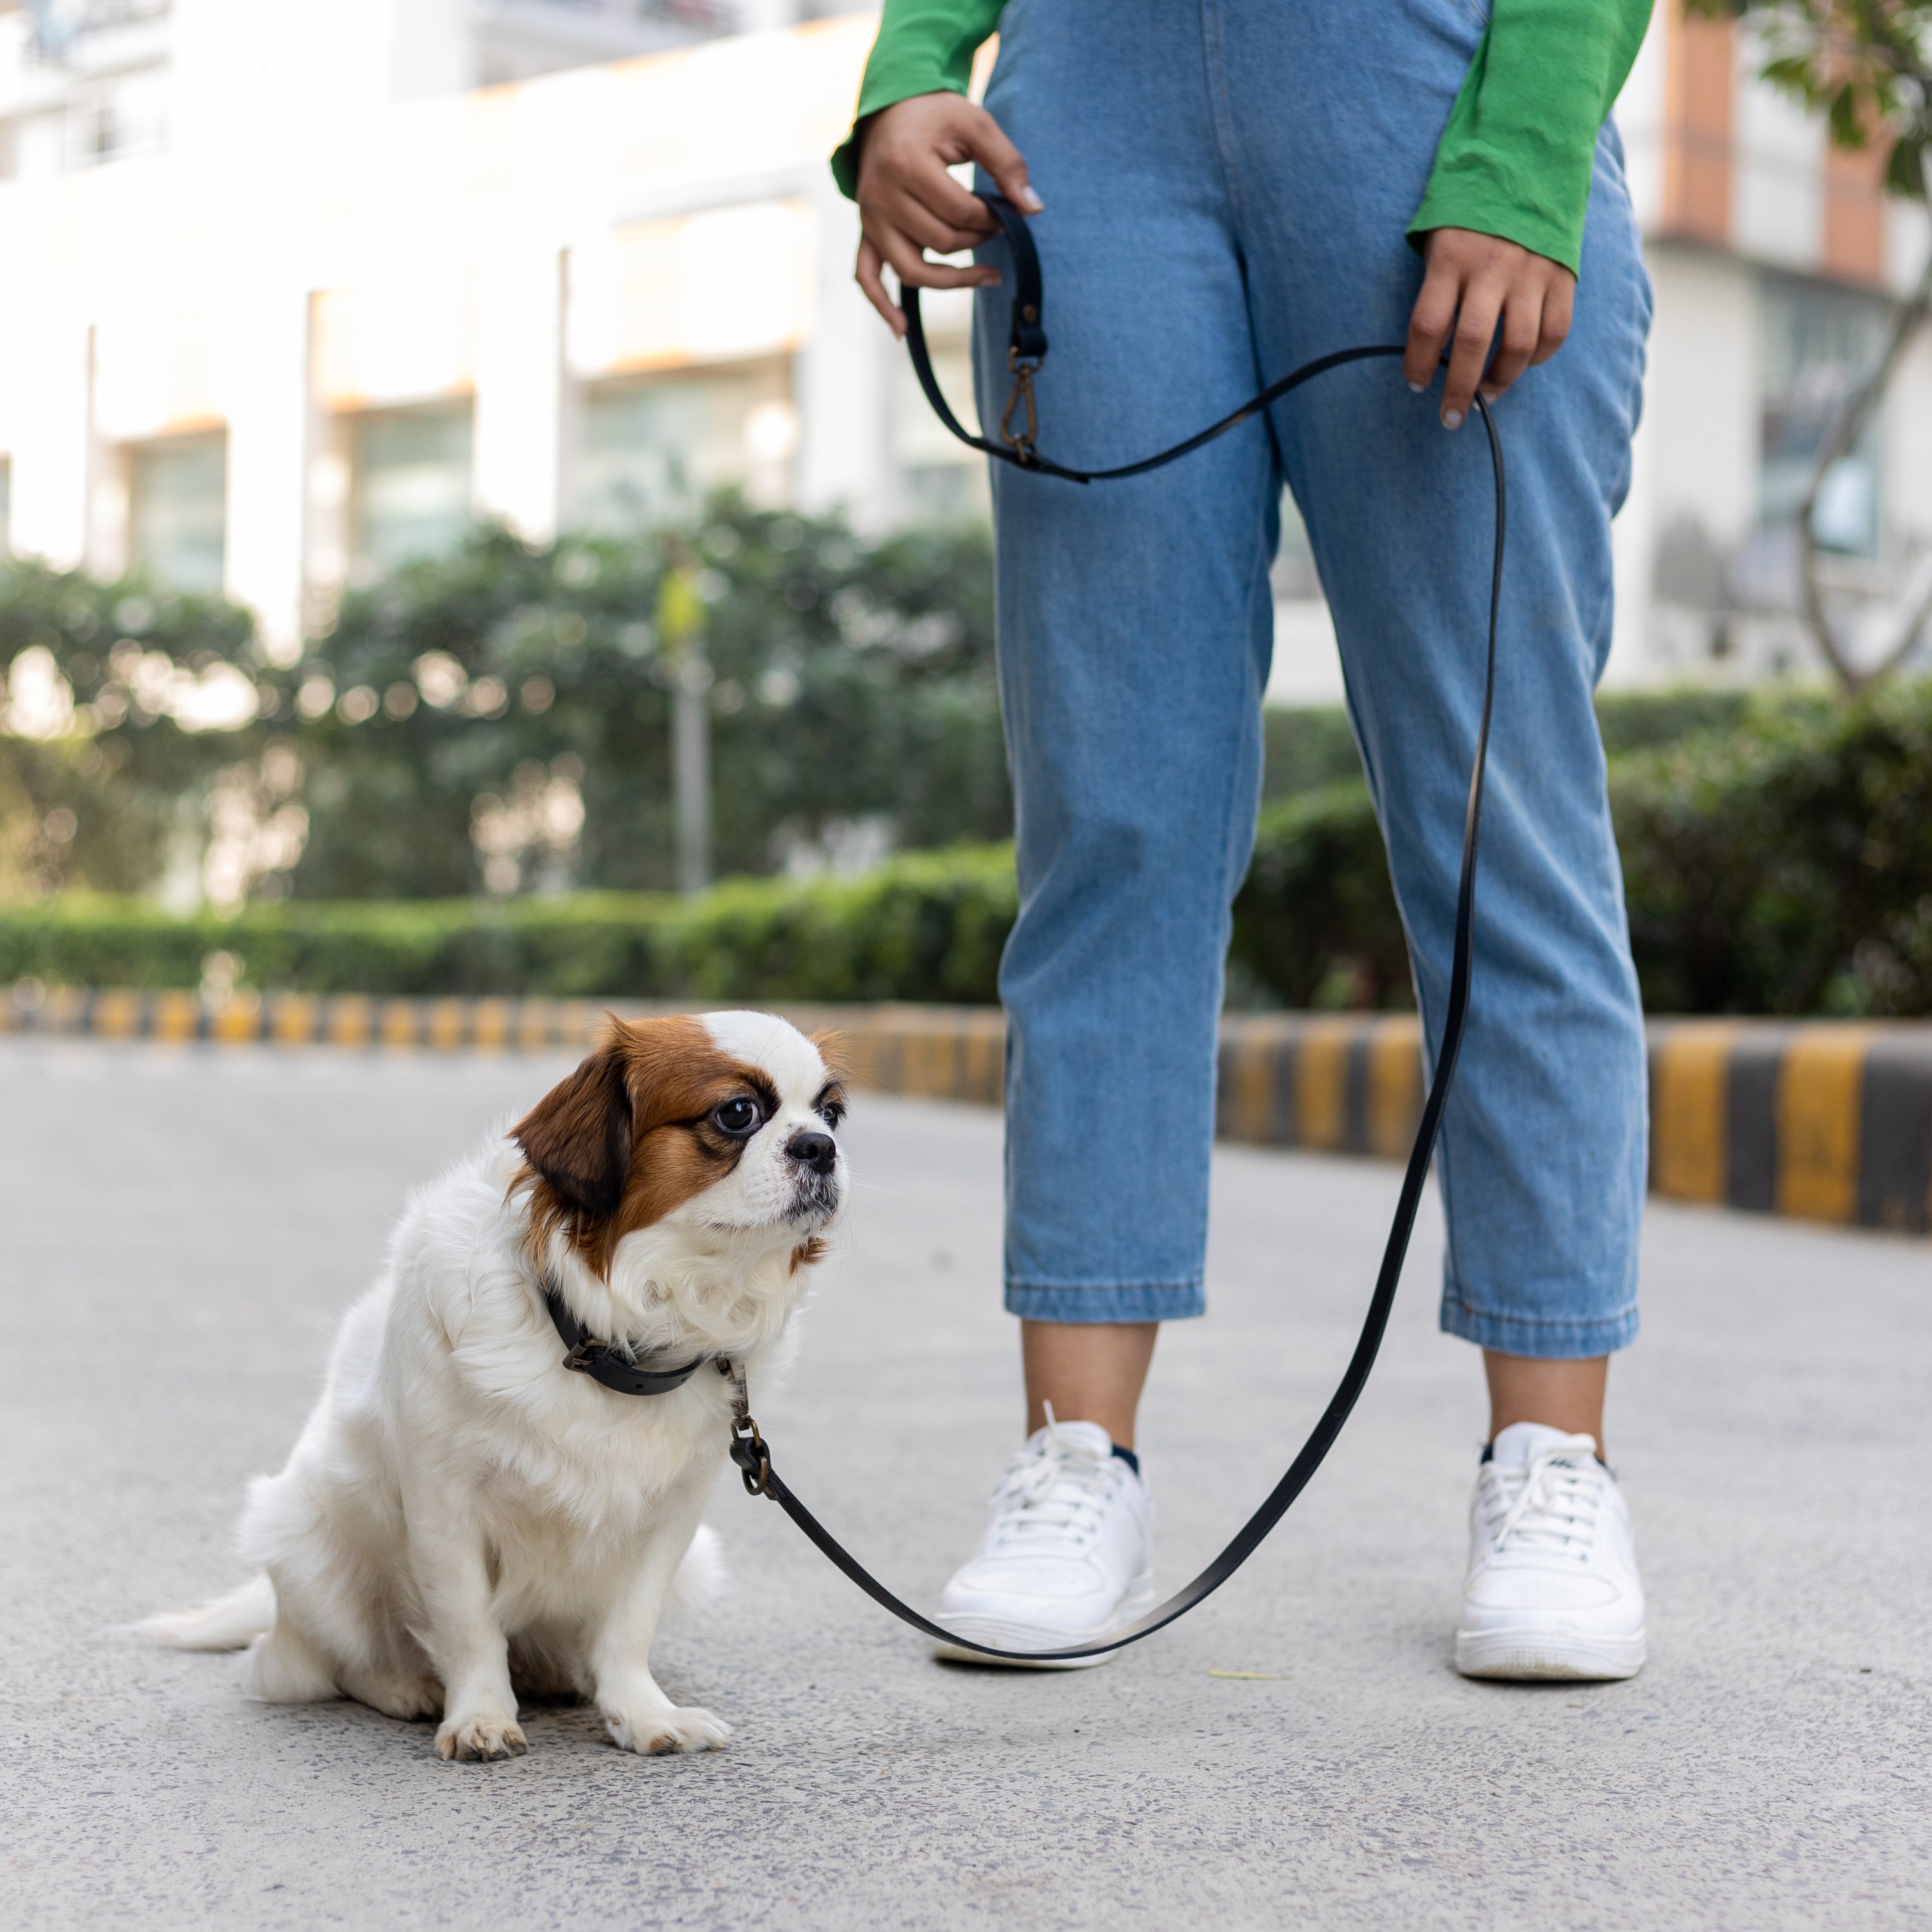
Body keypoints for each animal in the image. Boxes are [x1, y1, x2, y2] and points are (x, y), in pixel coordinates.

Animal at [140, 1020, 850, 1762]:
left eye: (832, 1114)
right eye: (738, 1113)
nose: (820, 1147)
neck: (601, 1336)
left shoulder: (673, 1518)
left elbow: (628, 1628)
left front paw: (641, 1713)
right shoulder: (443, 1507)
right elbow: (467, 1625)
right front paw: (479, 1716)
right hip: (302, 1540)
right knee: (325, 1664)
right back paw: (403, 1685)